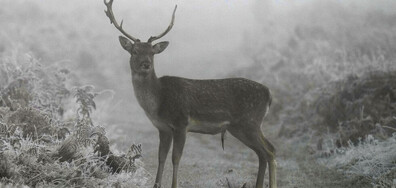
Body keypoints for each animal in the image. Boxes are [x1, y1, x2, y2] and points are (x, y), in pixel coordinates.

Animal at [103, 0, 276, 187]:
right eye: (134, 51)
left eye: (152, 53)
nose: (146, 64)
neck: (158, 101)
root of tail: (269, 94)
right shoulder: (163, 127)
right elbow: (161, 157)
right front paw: (156, 184)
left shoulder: (181, 123)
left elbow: (175, 158)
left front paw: (174, 184)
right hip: (242, 126)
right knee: (264, 153)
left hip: (249, 122)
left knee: (270, 151)